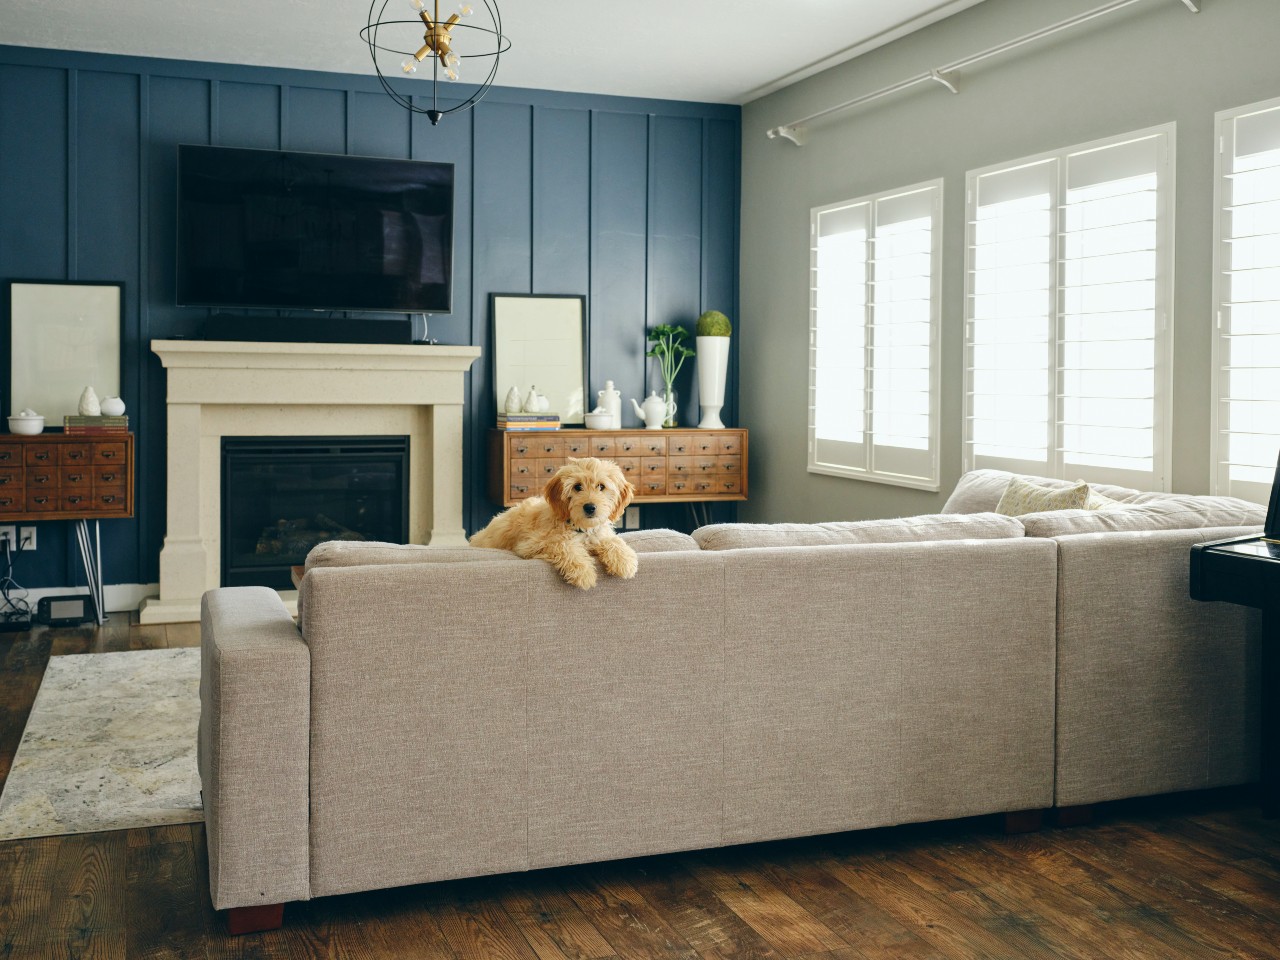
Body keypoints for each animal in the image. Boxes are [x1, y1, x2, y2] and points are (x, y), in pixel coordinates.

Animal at [471, 455, 640, 586]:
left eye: (601, 486)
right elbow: (562, 544)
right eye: (577, 486)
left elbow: (613, 540)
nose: (590, 507)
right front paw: (583, 572)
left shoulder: (598, 535)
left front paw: (624, 560)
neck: (580, 528)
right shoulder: (531, 545)